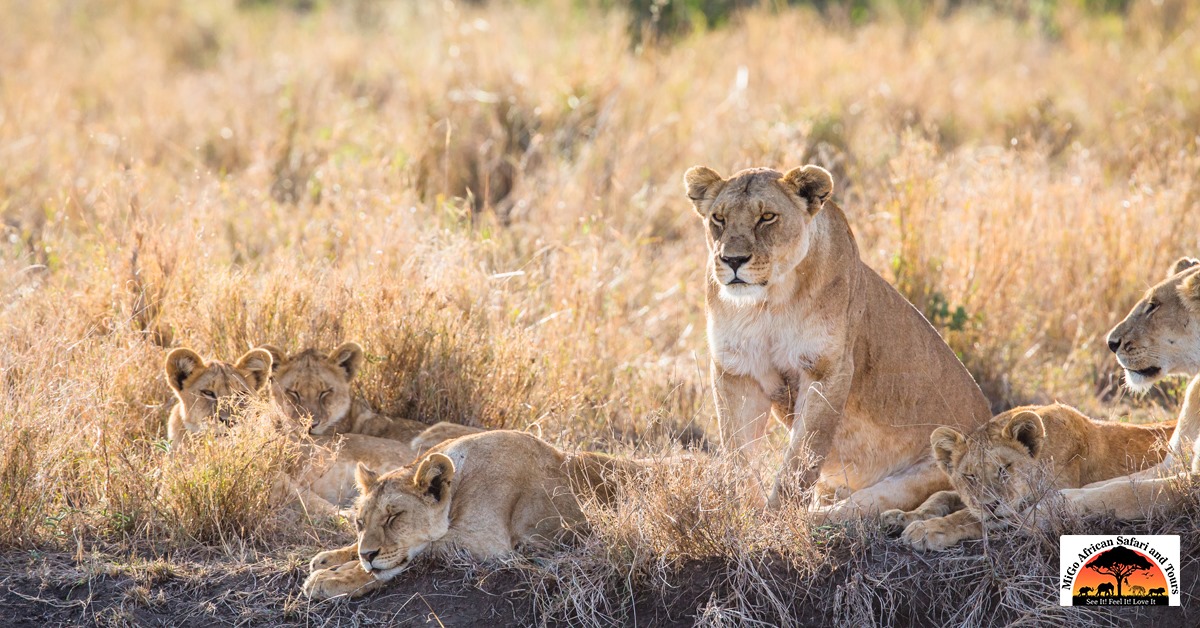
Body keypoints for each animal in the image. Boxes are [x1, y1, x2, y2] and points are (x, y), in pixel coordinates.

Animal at [302, 430, 646, 600]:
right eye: (360, 523)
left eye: (394, 517)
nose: (367, 554)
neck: (461, 480)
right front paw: (330, 558)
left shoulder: (489, 544)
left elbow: (419, 551)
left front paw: (331, 578)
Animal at [683, 165, 992, 515]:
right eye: (718, 218)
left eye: (767, 217)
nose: (733, 260)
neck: (769, 303)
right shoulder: (736, 370)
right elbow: (737, 453)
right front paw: (742, 511)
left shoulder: (827, 369)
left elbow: (802, 456)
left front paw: (778, 518)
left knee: (857, 510)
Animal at [884, 404, 1173, 551]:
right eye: (970, 477)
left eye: (1004, 469)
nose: (990, 505)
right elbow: (942, 495)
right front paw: (902, 516)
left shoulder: (1038, 504)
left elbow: (967, 517)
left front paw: (927, 529)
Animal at [1056, 257, 1200, 519]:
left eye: (1153, 306)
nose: (1110, 343)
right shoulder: (1171, 463)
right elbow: (1112, 482)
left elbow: (1123, 492)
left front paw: (1054, 504)